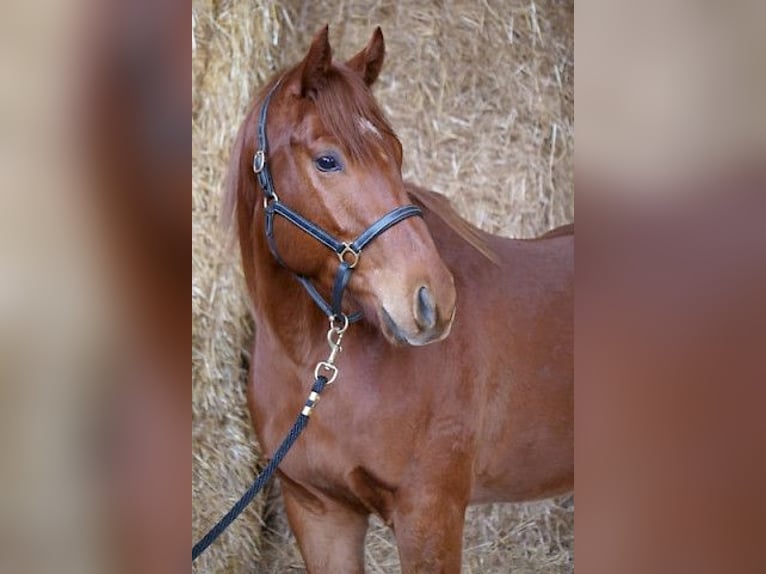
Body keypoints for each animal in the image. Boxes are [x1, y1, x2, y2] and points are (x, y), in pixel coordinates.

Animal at [225, 25, 572, 572]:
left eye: (396, 151)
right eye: (327, 160)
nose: (435, 299)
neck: (313, 365)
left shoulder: (428, 512)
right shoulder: (318, 512)